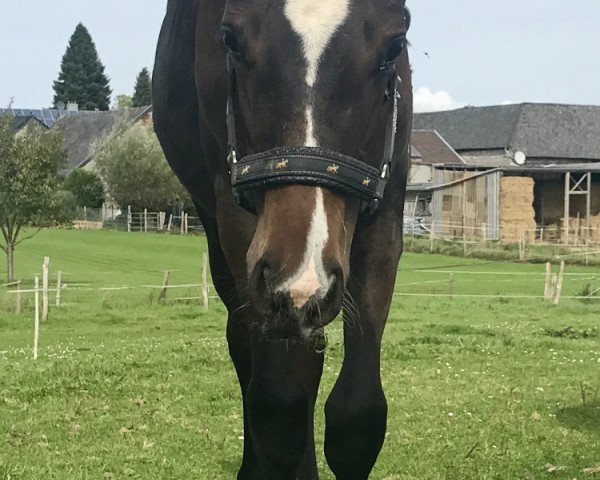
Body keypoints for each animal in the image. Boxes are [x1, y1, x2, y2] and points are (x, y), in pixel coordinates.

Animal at [152, 0, 412, 476]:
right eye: (230, 39)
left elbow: (357, 418)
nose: (301, 279)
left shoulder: (385, 214)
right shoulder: (241, 226)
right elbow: (279, 410)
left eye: (394, 46)